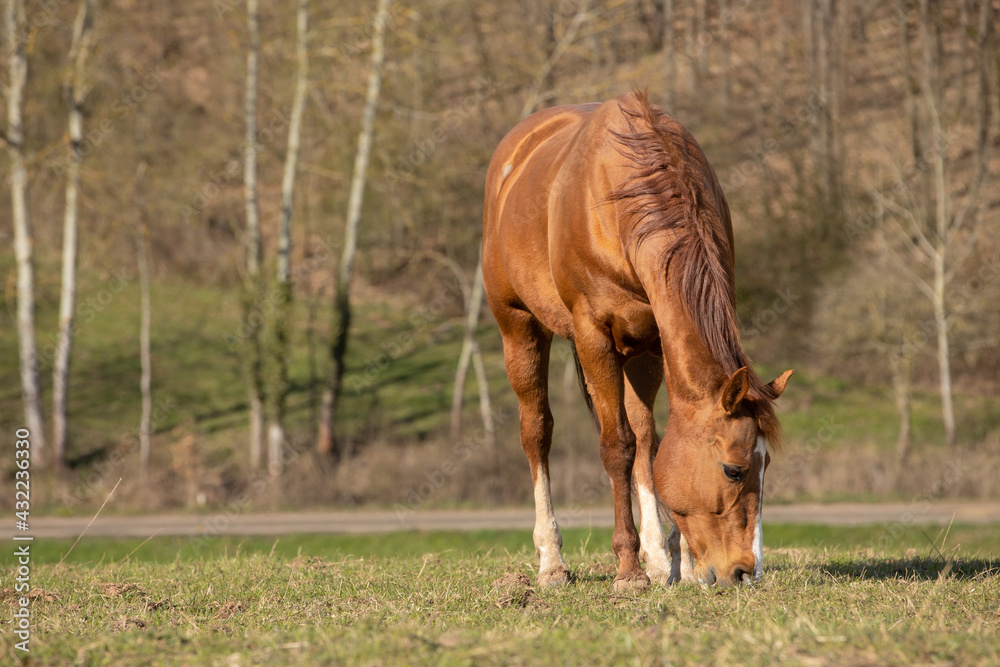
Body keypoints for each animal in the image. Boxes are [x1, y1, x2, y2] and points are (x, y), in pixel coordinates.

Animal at [481, 90, 793, 589]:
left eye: (766, 466)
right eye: (735, 469)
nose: (746, 572)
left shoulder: (658, 340)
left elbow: (651, 444)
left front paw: (675, 561)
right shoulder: (593, 337)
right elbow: (616, 447)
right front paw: (629, 569)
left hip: (638, 354)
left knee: (644, 436)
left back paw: (658, 556)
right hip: (519, 328)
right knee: (538, 434)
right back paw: (553, 562)